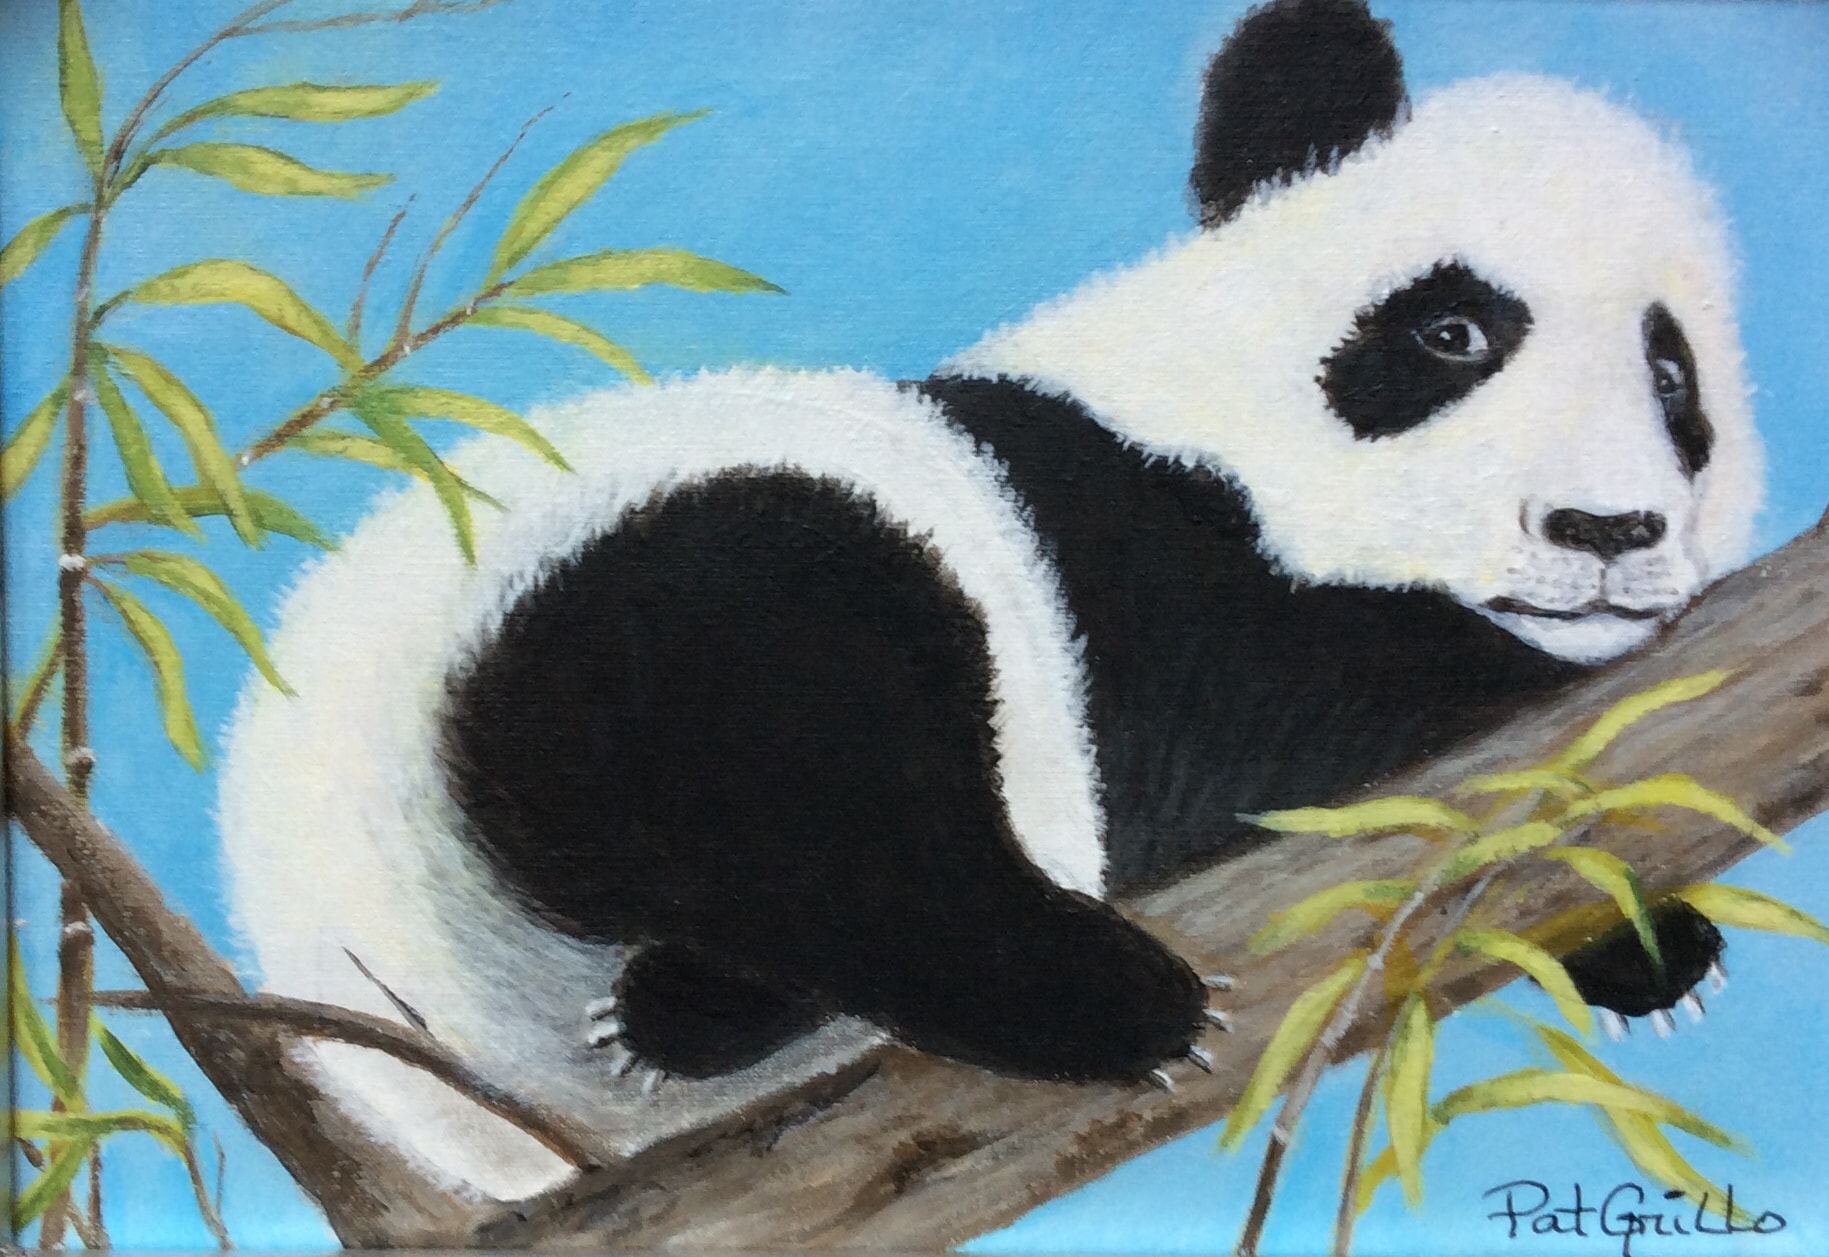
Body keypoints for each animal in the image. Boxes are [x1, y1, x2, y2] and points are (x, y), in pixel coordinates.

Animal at [218, 0, 1761, 1203]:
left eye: (1672, 378)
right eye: (1452, 332)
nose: (1607, 533)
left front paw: (1647, 942)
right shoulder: (1133, 574)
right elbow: (1318, 713)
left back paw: (690, 1009)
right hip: (613, 609)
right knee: (797, 759)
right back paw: (1084, 994)